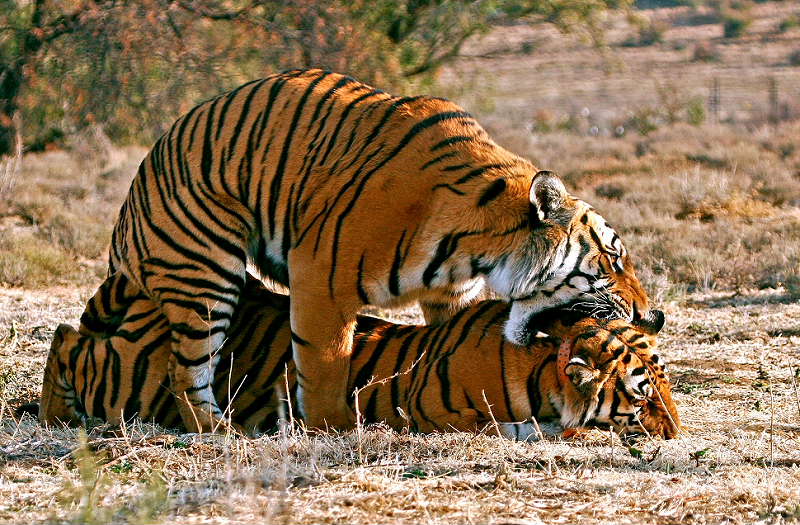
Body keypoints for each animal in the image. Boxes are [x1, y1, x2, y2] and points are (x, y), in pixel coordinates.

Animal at [40, 272, 680, 440]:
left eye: (668, 383)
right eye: (642, 392)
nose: (678, 432)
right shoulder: (436, 411)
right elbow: (519, 426)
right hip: (128, 381)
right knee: (64, 338)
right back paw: (52, 412)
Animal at [109, 67, 648, 432]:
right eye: (614, 258)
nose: (654, 316)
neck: (479, 246)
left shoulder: (451, 295)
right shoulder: (320, 281)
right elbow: (325, 366)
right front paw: (333, 430)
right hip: (204, 275)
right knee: (184, 371)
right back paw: (222, 432)